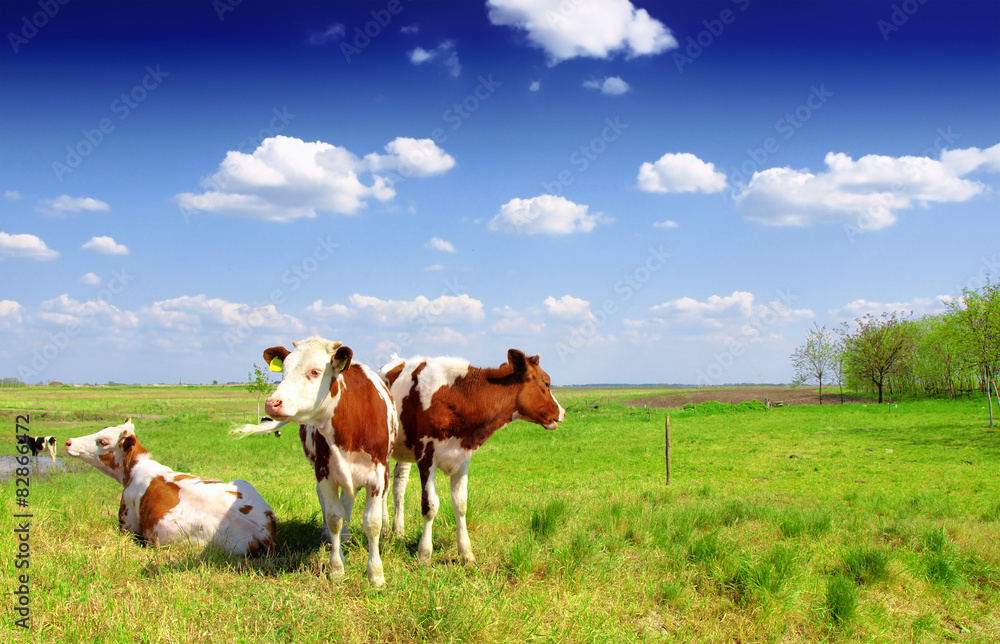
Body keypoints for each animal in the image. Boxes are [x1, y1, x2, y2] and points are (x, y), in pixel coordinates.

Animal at [66, 420, 274, 556]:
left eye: (103, 442)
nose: (69, 441)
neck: (134, 467)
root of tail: (261, 533)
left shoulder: (127, 522)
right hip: (243, 482)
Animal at [232, 340, 396, 588]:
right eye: (283, 371)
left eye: (315, 372)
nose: (272, 403)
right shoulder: (325, 473)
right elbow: (334, 517)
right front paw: (336, 568)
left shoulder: (378, 475)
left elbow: (372, 523)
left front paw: (375, 574)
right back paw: (335, 537)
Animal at [380, 350, 568, 568]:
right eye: (546, 383)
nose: (562, 412)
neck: (458, 396)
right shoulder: (426, 457)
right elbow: (430, 506)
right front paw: (424, 554)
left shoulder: (462, 457)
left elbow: (461, 504)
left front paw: (467, 554)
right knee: (384, 488)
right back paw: (384, 530)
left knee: (399, 484)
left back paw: (398, 530)